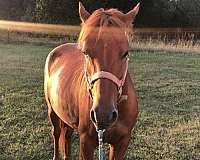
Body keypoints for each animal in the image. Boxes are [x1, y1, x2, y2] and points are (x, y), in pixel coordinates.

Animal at [44, 1, 140, 159]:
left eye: (126, 53)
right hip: (52, 110)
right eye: (85, 52)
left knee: (67, 136)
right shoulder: (86, 142)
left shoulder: (122, 142)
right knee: (56, 134)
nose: (103, 115)